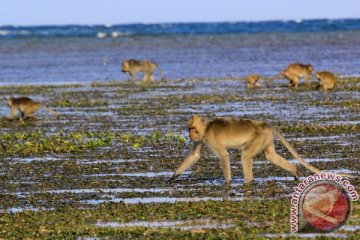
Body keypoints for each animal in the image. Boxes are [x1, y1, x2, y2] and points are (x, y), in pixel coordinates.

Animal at [168, 115, 354, 190]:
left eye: (192, 128)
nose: (190, 135)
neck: (206, 129)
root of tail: (264, 125)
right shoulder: (202, 139)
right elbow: (195, 156)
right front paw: (173, 177)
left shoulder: (211, 138)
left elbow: (224, 156)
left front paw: (227, 183)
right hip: (266, 138)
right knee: (270, 156)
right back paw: (294, 170)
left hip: (258, 137)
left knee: (245, 156)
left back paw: (248, 182)